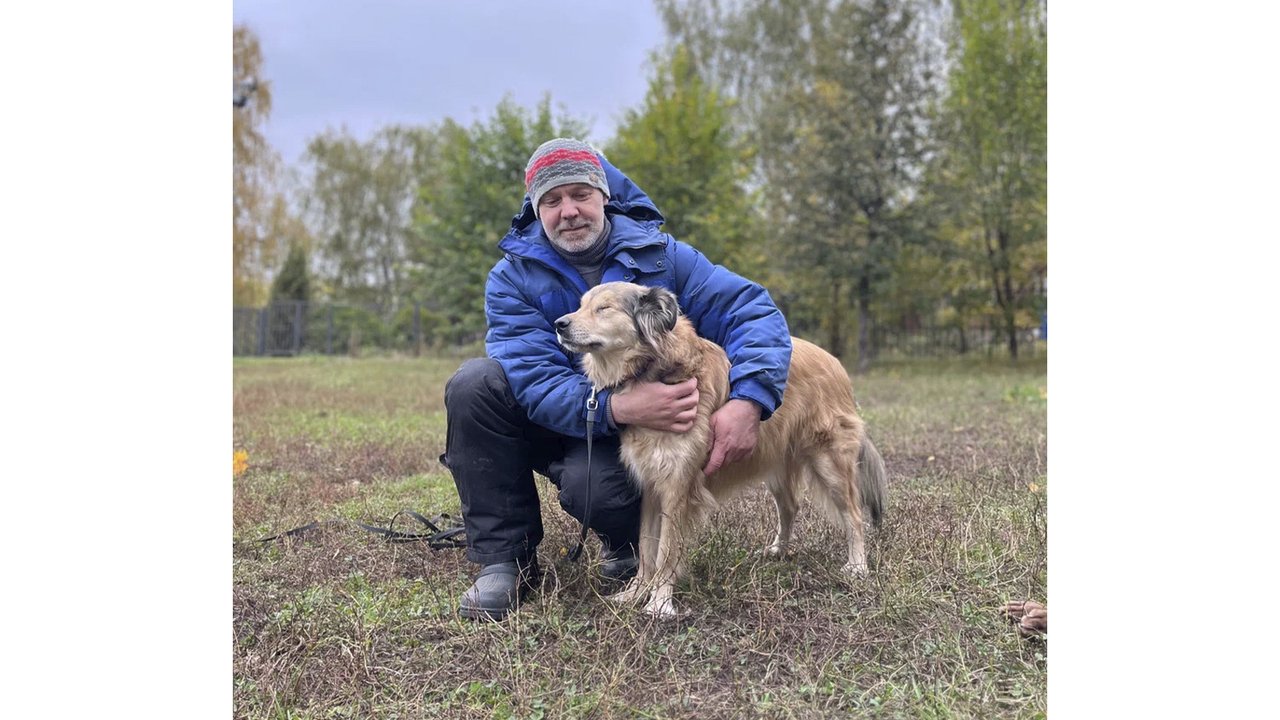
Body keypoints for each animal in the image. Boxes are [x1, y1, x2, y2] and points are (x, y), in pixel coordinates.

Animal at [555, 280, 885, 617]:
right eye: (581, 305)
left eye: (604, 308)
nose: (559, 324)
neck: (653, 368)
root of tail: (834, 363)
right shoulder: (651, 486)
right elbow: (646, 547)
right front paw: (636, 593)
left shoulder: (678, 487)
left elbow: (666, 550)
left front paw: (659, 602)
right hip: (775, 462)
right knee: (791, 506)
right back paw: (779, 550)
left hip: (829, 463)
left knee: (854, 515)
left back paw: (857, 566)